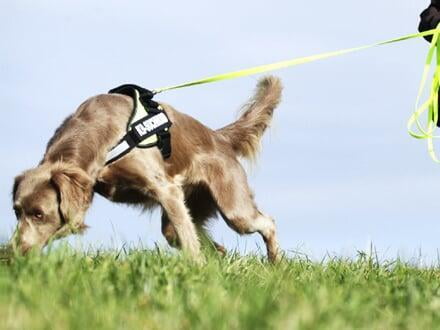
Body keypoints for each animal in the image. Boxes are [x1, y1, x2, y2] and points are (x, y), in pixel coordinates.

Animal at [12, 76, 286, 262]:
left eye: (39, 214)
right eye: (16, 211)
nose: (14, 252)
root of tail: (220, 137)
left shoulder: (166, 189)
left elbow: (188, 239)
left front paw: (195, 269)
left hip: (233, 205)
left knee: (267, 223)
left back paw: (275, 264)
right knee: (188, 235)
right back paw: (219, 253)